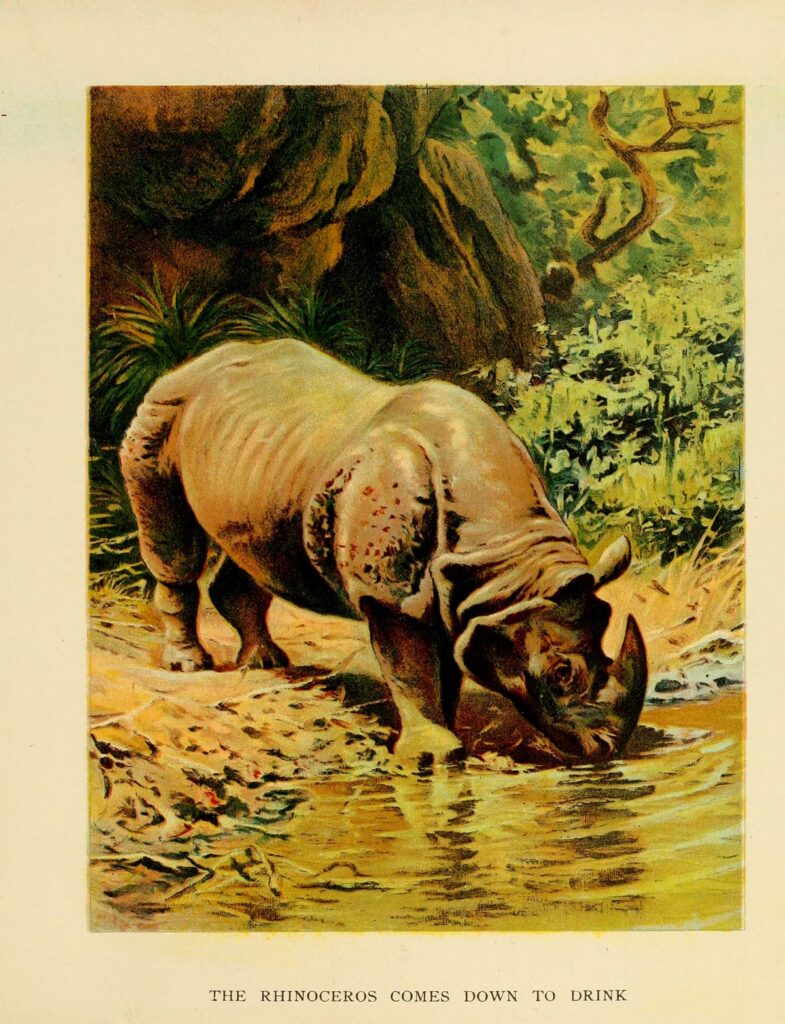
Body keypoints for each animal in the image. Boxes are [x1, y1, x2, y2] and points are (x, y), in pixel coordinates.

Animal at [120, 338, 646, 765]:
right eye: (560, 674)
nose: (606, 749)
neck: (507, 561)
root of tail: (193, 364)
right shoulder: (392, 592)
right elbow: (408, 664)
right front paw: (434, 757)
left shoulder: (459, 595)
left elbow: (443, 663)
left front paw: (447, 730)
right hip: (161, 412)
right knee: (172, 540)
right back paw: (190, 666)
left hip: (259, 458)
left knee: (252, 547)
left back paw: (266, 663)